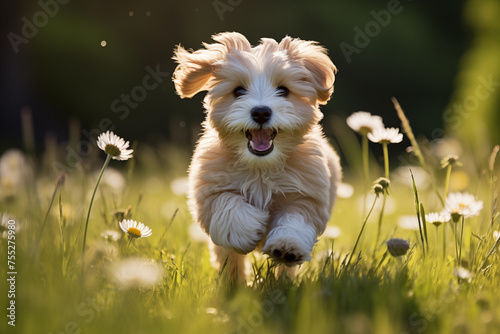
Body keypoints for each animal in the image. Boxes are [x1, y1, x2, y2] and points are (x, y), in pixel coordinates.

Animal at [172, 32, 340, 280]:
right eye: (238, 92)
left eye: (283, 91)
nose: (261, 112)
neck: (261, 168)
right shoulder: (209, 191)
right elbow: (228, 204)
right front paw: (244, 230)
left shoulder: (307, 195)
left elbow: (296, 218)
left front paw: (287, 245)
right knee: (230, 261)